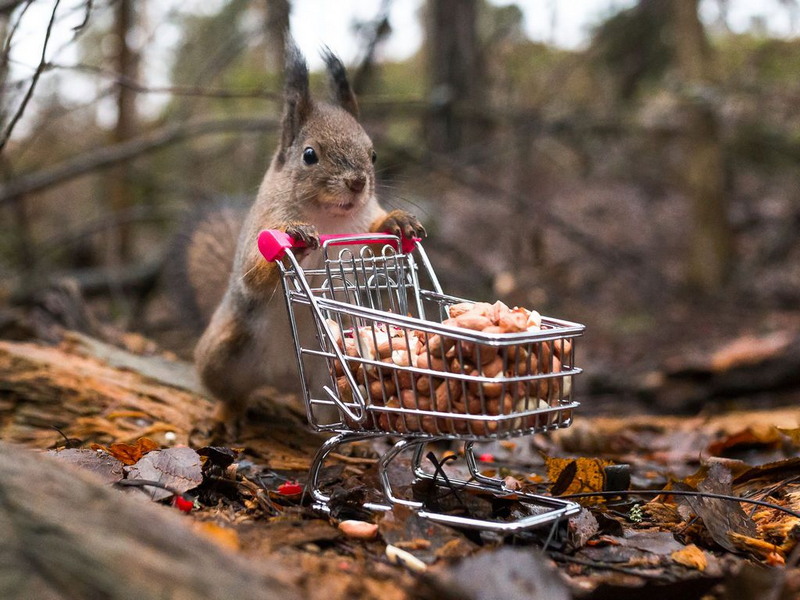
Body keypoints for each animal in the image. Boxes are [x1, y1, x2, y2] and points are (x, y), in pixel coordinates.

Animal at [189, 41, 424, 436]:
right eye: (309, 155)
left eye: (373, 154)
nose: (357, 183)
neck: (327, 216)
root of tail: (285, 380)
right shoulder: (263, 225)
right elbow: (254, 274)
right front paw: (294, 235)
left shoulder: (361, 229)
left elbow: (375, 240)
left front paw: (398, 221)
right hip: (222, 353)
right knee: (232, 391)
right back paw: (226, 414)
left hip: (336, 373)